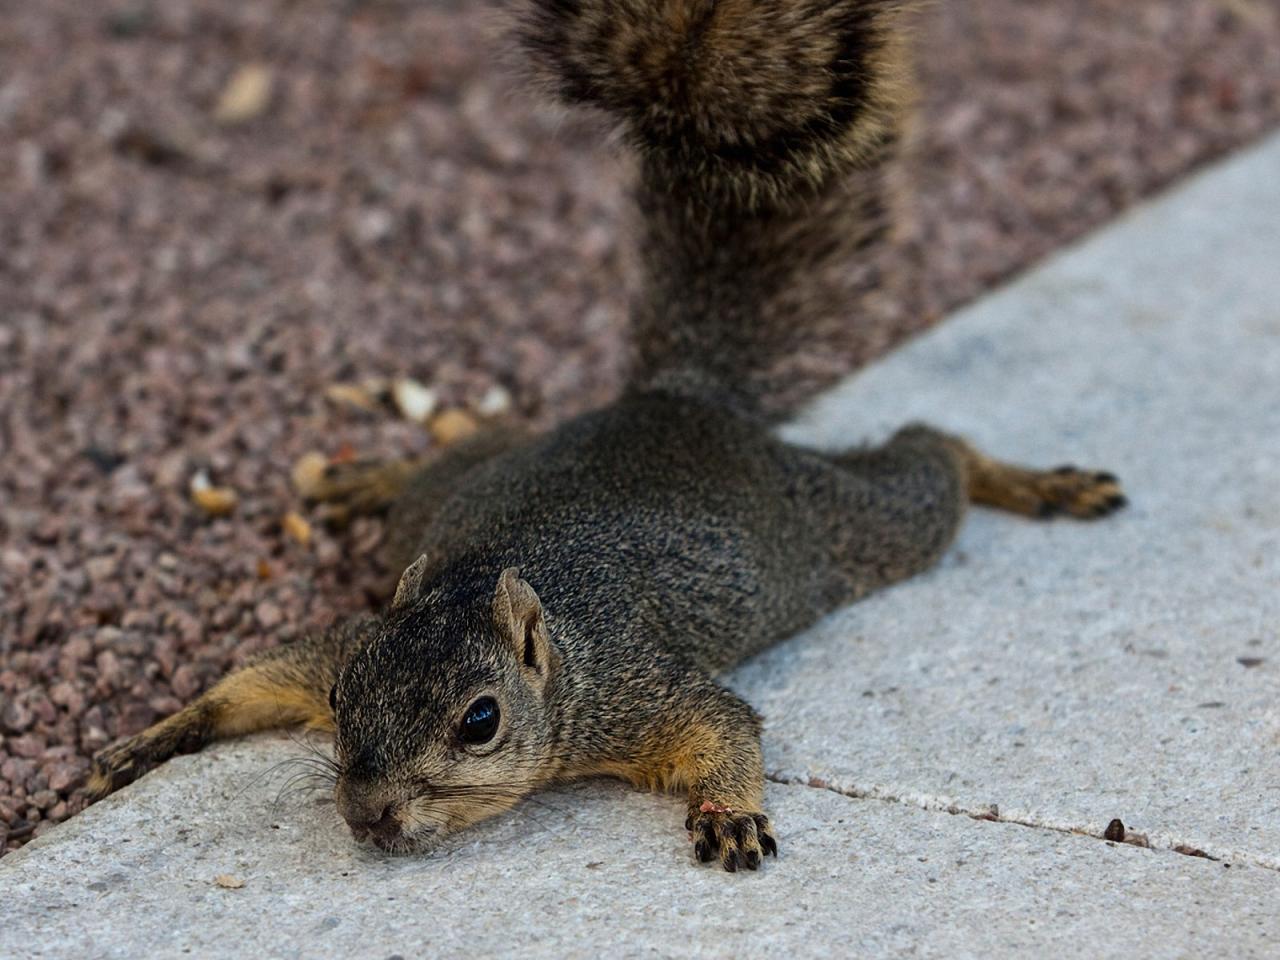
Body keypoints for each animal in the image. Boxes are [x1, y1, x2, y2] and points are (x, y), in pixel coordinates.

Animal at [85, 0, 1126, 870]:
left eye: (480, 721)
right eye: (343, 700)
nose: (367, 817)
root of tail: (675, 399)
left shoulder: (637, 690)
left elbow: (724, 724)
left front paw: (731, 811)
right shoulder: (346, 640)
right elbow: (259, 677)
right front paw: (153, 738)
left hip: (852, 526)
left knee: (930, 459)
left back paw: (1037, 482)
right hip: (457, 489)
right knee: (473, 445)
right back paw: (367, 479)